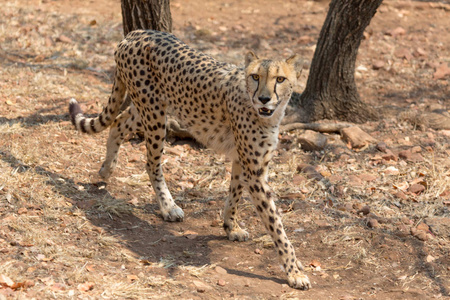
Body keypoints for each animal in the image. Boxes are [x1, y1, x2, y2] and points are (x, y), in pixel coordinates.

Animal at [68, 29, 312, 288]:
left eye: (280, 79)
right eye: (255, 76)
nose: (264, 98)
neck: (268, 114)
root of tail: (137, 33)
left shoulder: (243, 160)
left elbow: (234, 194)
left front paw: (231, 227)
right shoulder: (254, 172)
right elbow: (277, 226)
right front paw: (294, 272)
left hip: (147, 107)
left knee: (118, 122)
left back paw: (107, 168)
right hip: (154, 114)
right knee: (151, 162)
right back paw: (168, 207)